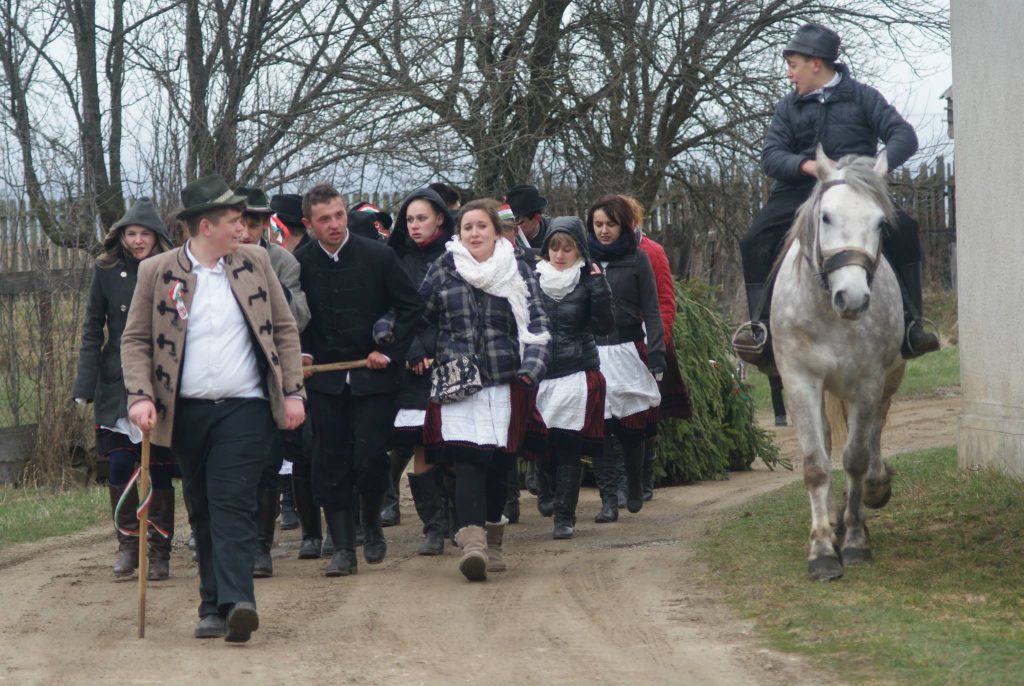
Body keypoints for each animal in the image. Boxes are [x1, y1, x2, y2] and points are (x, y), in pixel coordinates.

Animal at [770, 147, 909, 581]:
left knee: (875, 432)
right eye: (826, 217)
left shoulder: (868, 383)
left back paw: (868, 498)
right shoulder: (800, 381)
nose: (853, 298)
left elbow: (856, 459)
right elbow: (818, 464)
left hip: (888, 380)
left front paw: (855, 541)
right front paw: (822, 550)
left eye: (880, 222)